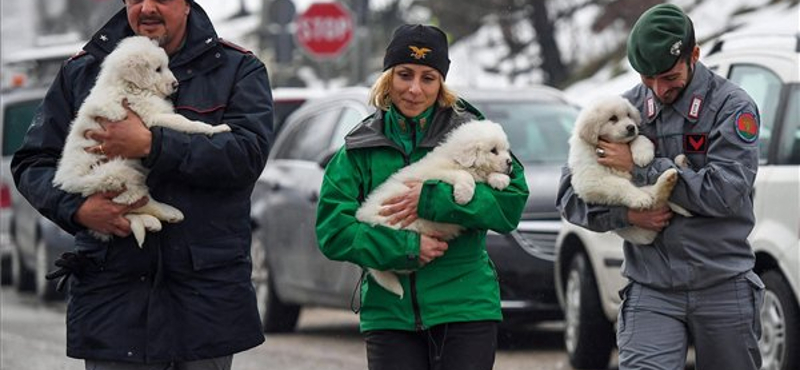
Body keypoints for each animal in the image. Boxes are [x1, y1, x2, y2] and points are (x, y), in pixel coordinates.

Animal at [53, 36, 231, 247]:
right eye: (157, 69)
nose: (175, 84)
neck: (129, 86)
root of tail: (71, 185)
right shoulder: (152, 116)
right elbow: (186, 122)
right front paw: (216, 128)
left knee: (127, 212)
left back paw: (151, 222)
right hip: (118, 174)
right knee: (136, 204)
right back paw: (168, 214)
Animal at [356, 120, 512, 300]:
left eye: (505, 149)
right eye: (493, 151)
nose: (510, 162)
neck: (456, 160)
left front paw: (500, 179)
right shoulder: (438, 175)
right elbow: (463, 175)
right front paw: (463, 196)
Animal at [564, 96, 692, 246]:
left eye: (629, 115)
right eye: (613, 118)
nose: (631, 127)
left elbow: (639, 137)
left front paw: (643, 154)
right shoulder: (589, 179)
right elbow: (620, 184)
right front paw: (640, 199)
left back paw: (680, 163)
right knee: (656, 198)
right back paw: (667, 179)